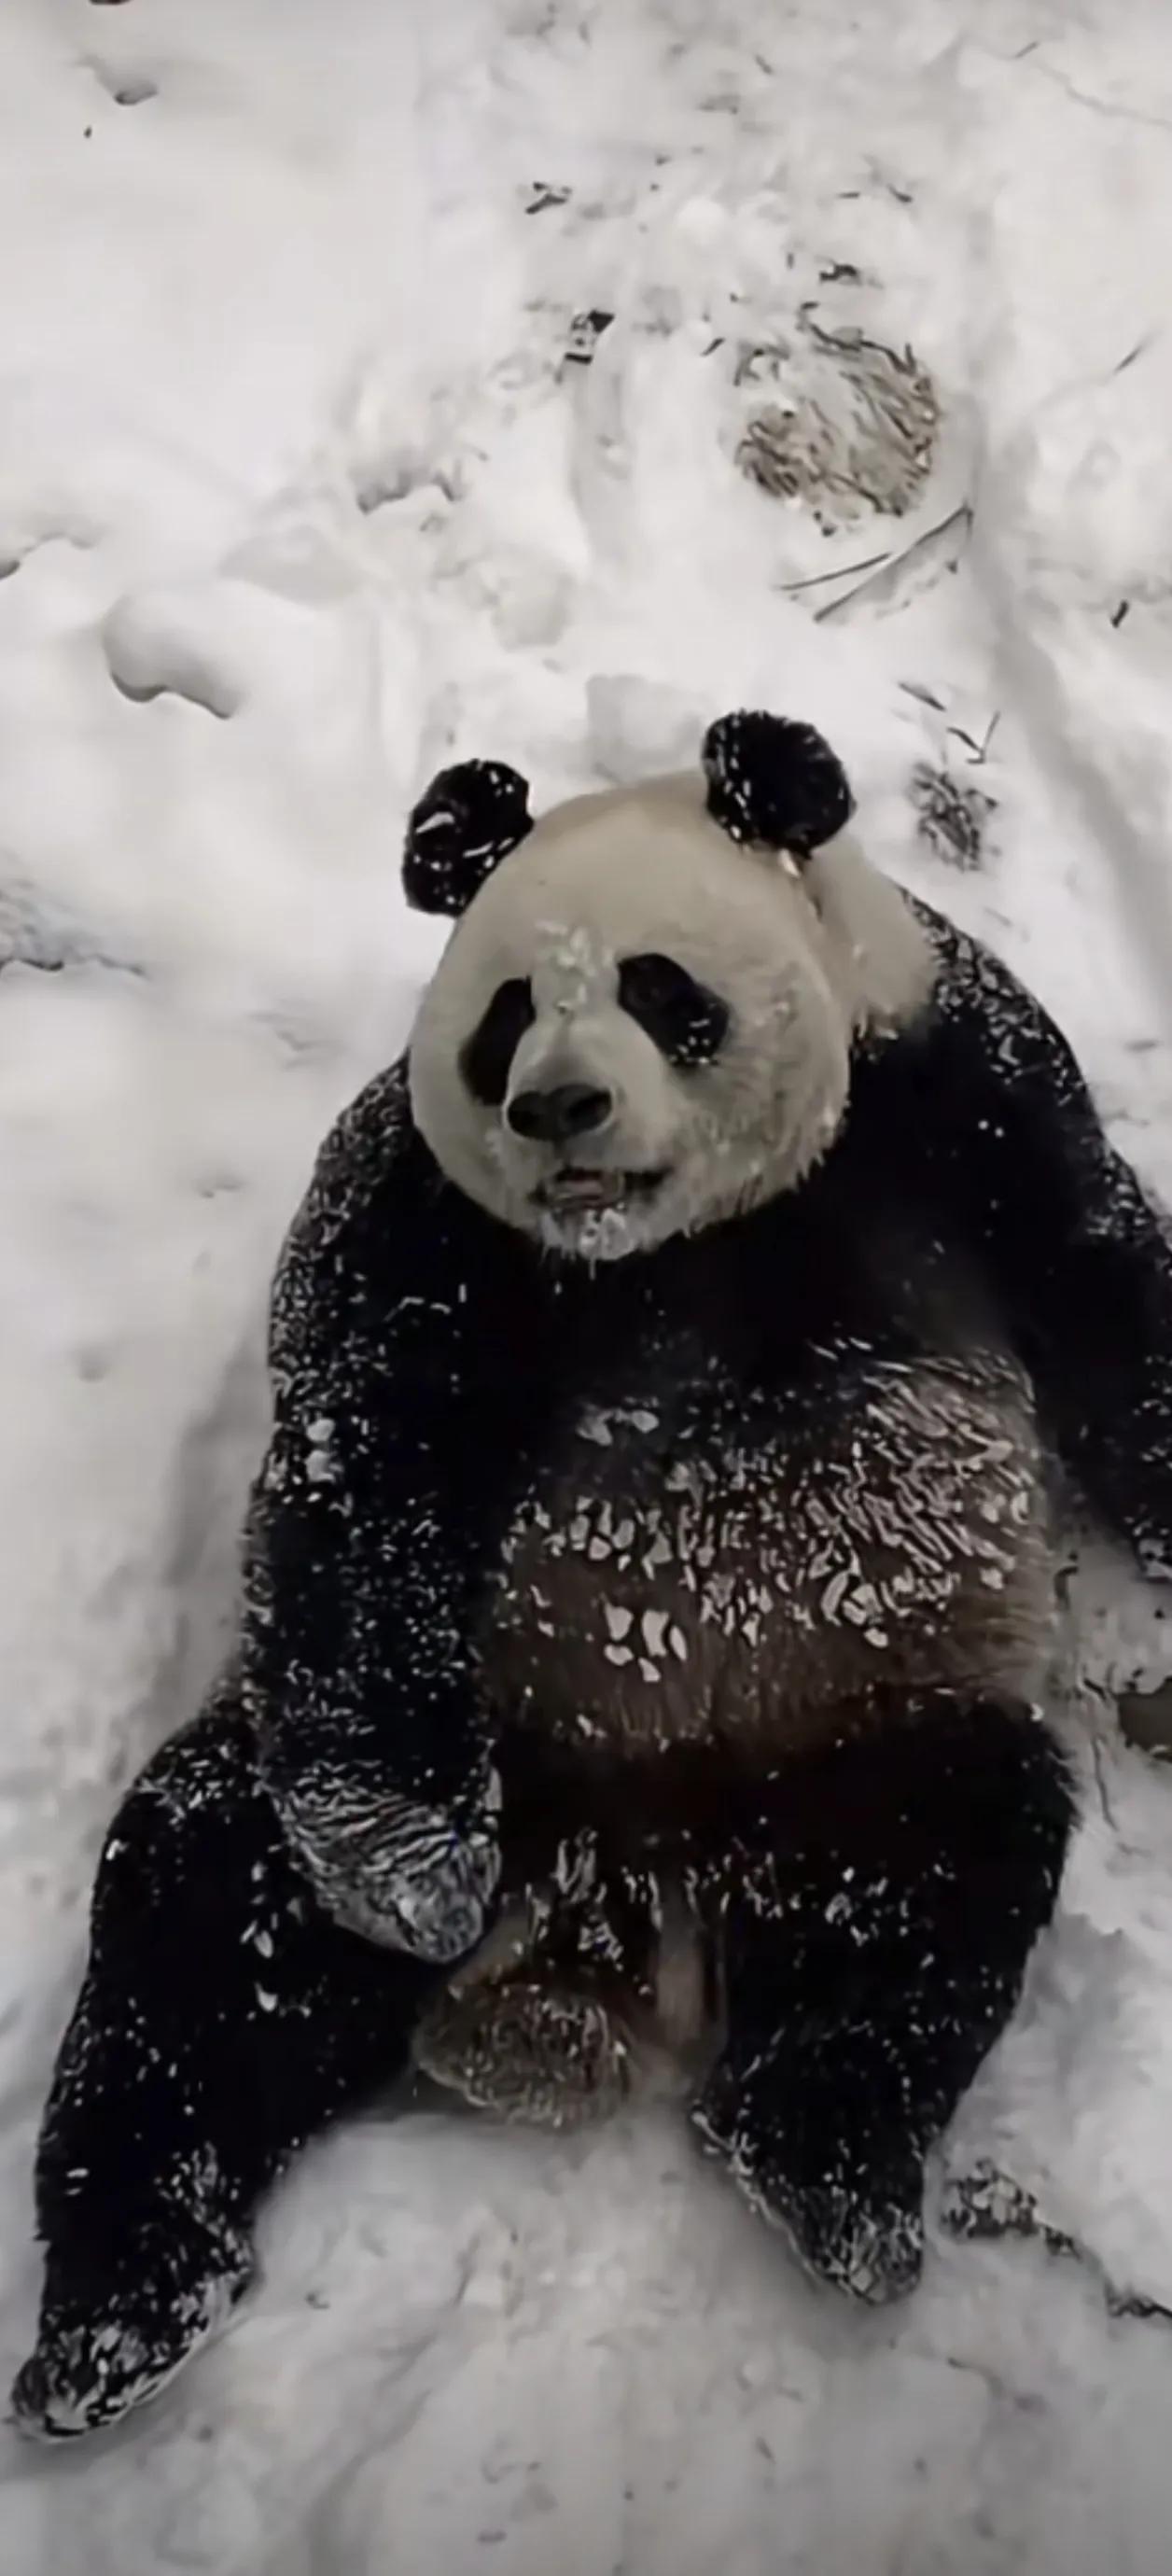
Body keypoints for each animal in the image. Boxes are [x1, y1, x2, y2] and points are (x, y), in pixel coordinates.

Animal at [13, 710, 1172, 2431]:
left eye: (656, 989)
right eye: (505, 1016)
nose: (559, 1110)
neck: (669, 1242)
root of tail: (624, 1895)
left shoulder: (954, 1078)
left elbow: (1104, 1291)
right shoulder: (424, 1210)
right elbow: (363, 1457)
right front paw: (412, 1875)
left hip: (867, 1709)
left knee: (936, 1880)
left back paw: (830, 2173)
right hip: (499, 1743)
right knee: (207, 1928)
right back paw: (118, 2312)